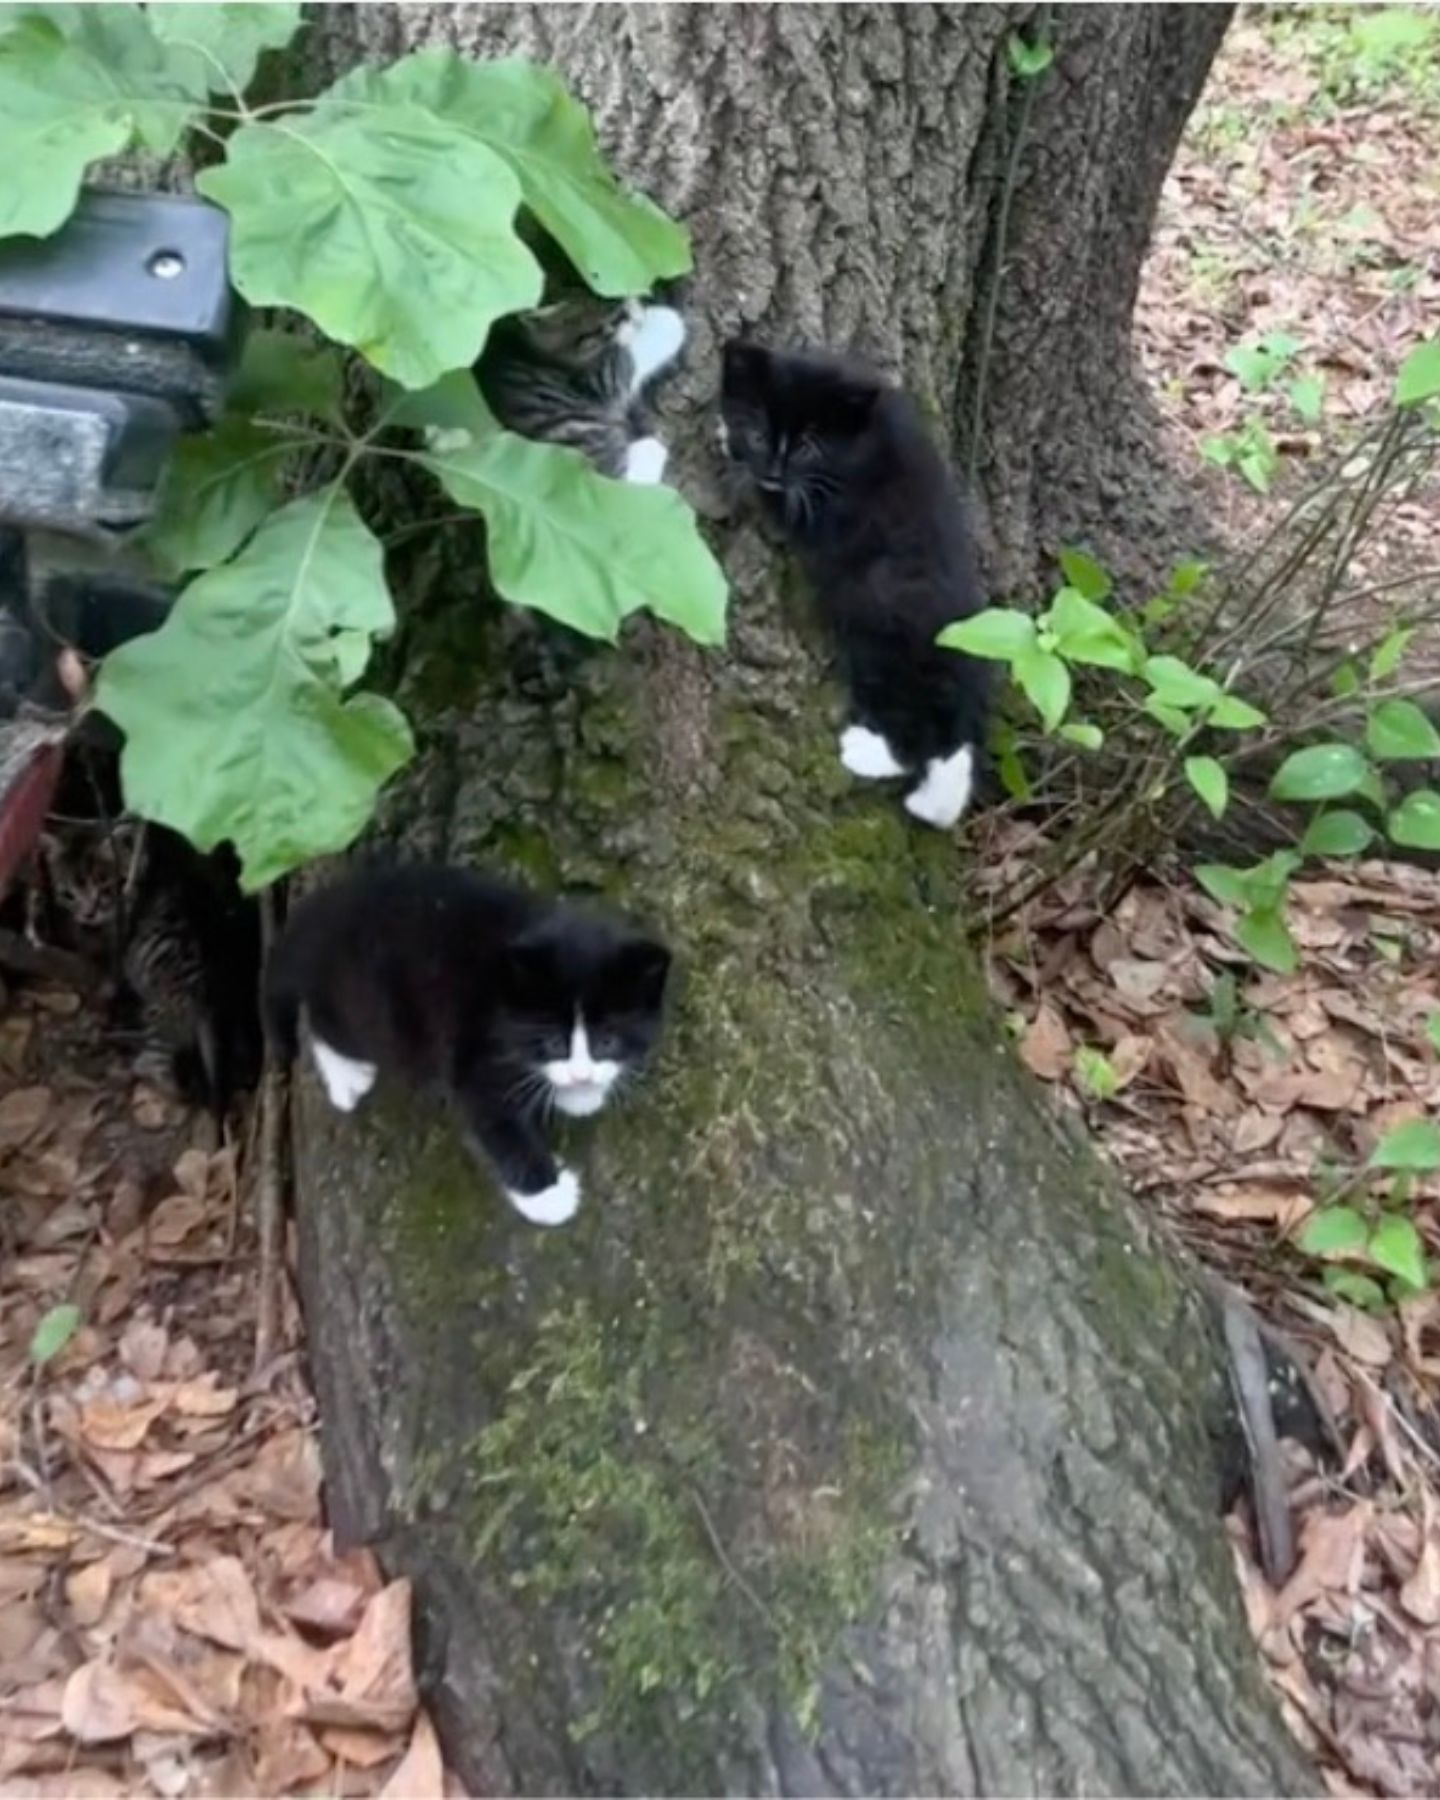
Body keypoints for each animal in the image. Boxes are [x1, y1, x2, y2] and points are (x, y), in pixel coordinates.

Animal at [266, 864, 676, 1231]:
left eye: (607, 1040)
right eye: (553, 1042)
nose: (581, 1074)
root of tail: (321, 912)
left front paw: (582, 1091)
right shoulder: (474, 1044)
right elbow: (496, 1121)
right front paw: (548, 1197)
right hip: (368, 1005)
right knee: (329, 1023)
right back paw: (347, 1075)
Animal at [478, 298, 687, 489]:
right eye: (614, 316)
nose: (634, 314)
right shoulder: (602, 378)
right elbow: (633, 353)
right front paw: (663, 317)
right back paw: (650, 447)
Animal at [720, 338, 993, 828]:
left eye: (806, 448)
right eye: (760, 435)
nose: (772, 470)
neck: (862, 440)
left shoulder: (830, 508)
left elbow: (781, 505)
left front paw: (723, 440)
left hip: (886, 636)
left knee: (914, 724)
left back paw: (867, 754)